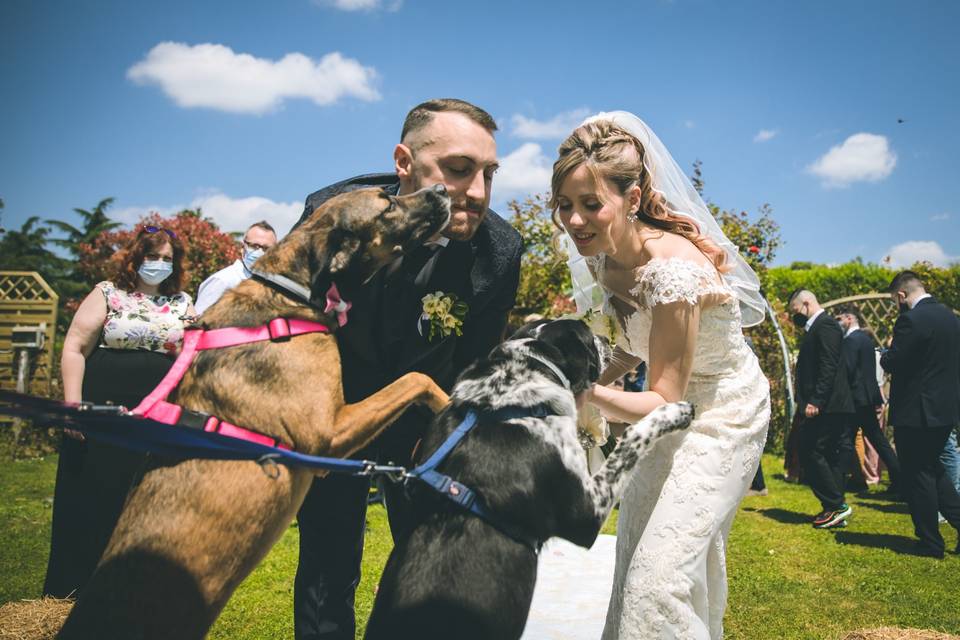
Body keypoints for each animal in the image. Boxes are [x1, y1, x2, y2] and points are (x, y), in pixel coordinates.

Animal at [58, 184, 456, 640]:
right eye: (387, 203)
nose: (441, 189)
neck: (288, 291)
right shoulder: (327, 432)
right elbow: (416, 377)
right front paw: (455, 402)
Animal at [364, 318, 692, 636]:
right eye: (588, 335)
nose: (606, 339)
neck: (505, 402)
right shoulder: (585, 514)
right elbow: (634, 437)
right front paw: (674, 411)